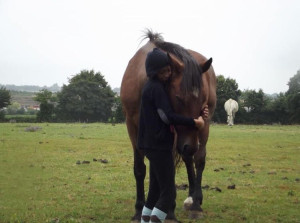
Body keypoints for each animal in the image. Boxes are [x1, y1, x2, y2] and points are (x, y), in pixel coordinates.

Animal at [120, 30, 217, 222]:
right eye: (179, 98)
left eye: (202, 100)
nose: (190, 146)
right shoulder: (133, 127)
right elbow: (140, 169)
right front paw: (139, 209)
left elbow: (169, 170)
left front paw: (169, 211)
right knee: (189, 159)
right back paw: (190, 197)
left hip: (201, 130)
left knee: (198, 159)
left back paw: (196, 204)